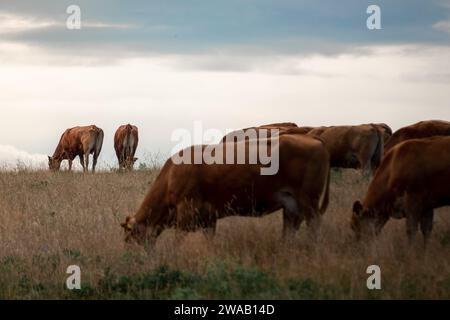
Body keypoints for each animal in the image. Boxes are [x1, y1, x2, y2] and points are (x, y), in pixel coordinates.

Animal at [119, 134, 330, 246]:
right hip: (292, 205)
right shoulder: (209, 219)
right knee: (290, 228)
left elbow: (177, 241)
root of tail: (314, 139)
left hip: (308, 201)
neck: (170, 176)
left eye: (131, 237)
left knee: (314, 224)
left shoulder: (185, 213)